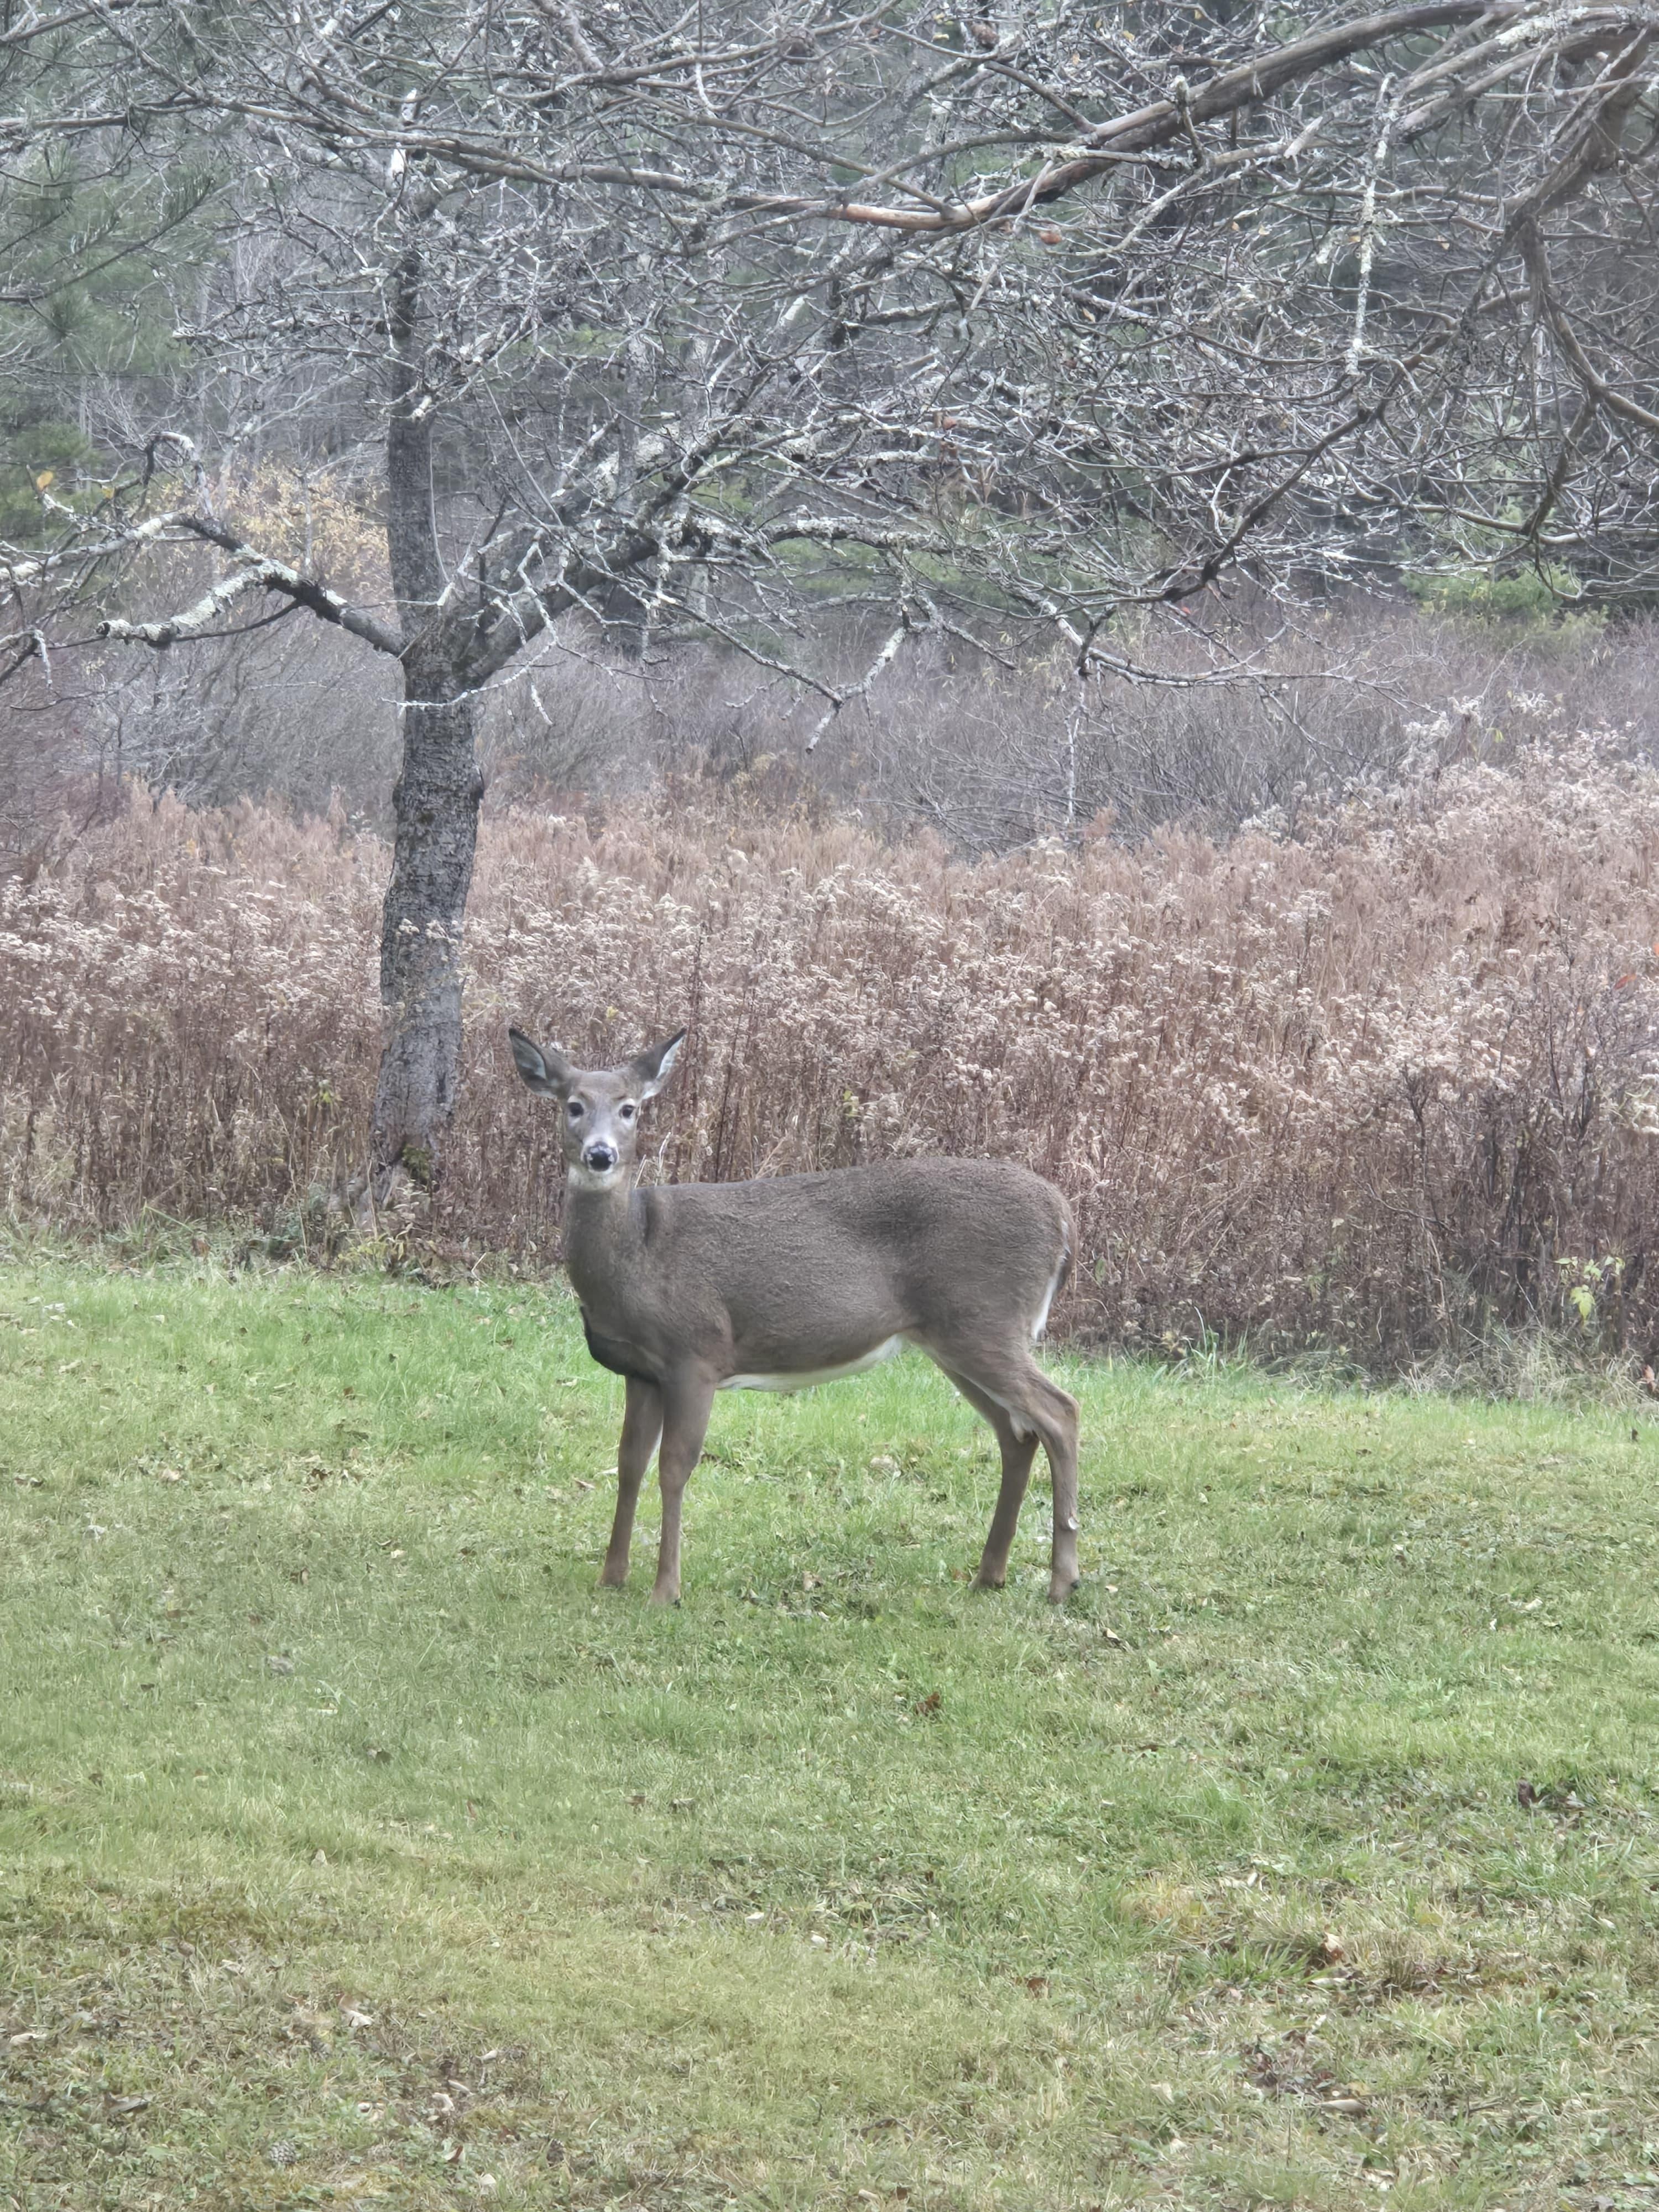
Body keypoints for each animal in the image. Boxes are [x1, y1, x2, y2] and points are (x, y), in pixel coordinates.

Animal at [508, 1023, 1081, 1606]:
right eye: (573, 1105)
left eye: (629, 1109)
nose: (600, 1155)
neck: (636, 1254)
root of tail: (1064, 1218)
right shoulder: (640, 1371)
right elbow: (628, 1464)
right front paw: (611, 1576)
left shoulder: (696, 1352)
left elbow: (674, 1468)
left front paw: (665, 1590)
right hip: (956, 1339)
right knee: (1017, 1434)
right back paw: (990, 1574)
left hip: (986, 1323)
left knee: (1061, 1412)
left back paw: (1063, 1579)